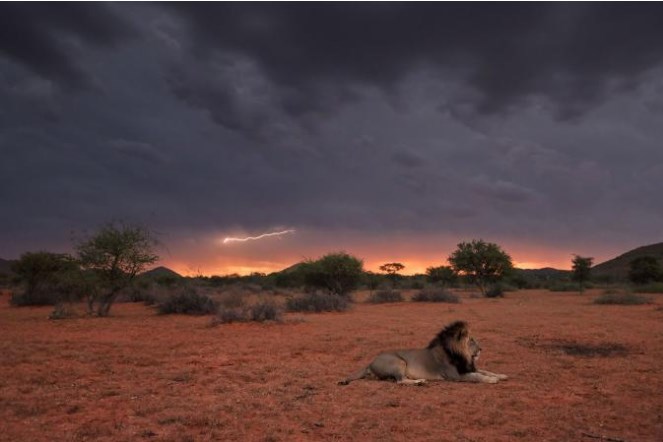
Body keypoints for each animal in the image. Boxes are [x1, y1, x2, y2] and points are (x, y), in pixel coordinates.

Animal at [340, 320, 506, 386]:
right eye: (471, 340)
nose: (481, 349)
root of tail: (370, 362)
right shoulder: (456, 375)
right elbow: (477, 376)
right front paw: (492, 380)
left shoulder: (468, 367)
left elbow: (485, 370)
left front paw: (501, 375)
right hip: (399, 361)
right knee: (400, 381)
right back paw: (419, 382)